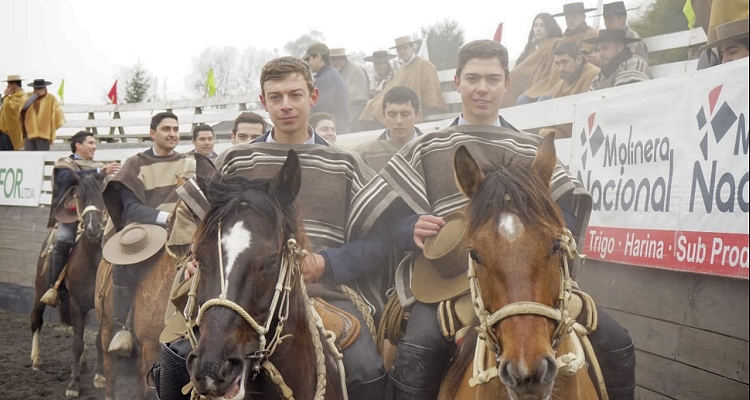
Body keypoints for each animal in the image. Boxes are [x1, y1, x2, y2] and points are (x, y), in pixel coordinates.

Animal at [29, 171, 107, 396]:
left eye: (102, 195)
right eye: (79, 197)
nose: (93, 228)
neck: (92, 260)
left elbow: (98, 339)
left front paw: (100, 376)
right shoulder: (76, 303)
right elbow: (76, 344)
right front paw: (73, 385)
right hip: (40, 292)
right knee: (36, 321)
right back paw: (36, 359)